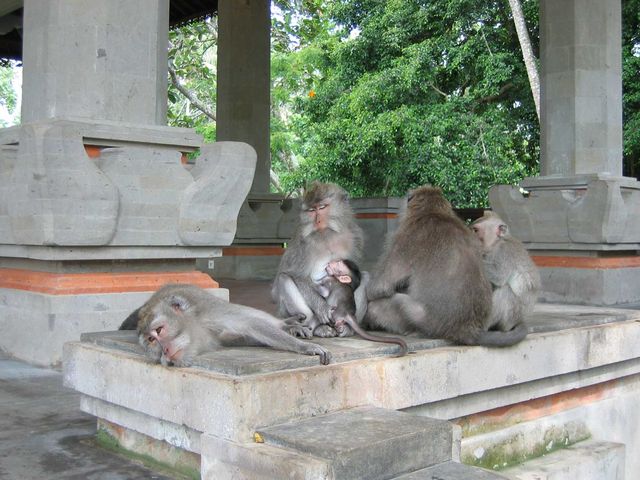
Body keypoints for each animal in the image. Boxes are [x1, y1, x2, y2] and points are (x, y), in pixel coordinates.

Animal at [272, 182, 364, 340]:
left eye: (322, 207)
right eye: (311, 210)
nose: (318, 221)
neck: (327, 234)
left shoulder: (355, 236)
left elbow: (356, 270)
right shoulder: (302, 243)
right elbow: (297, 275)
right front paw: (321, 308)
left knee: (366, 276)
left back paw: (347, 328)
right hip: (285, 312)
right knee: (284, 278)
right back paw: (317, 328)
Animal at [362, 186, 528, 346]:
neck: (434, 213)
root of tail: (467, 329)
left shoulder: (405, 239)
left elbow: (378, 288)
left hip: (425, 321)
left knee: (381, 306)